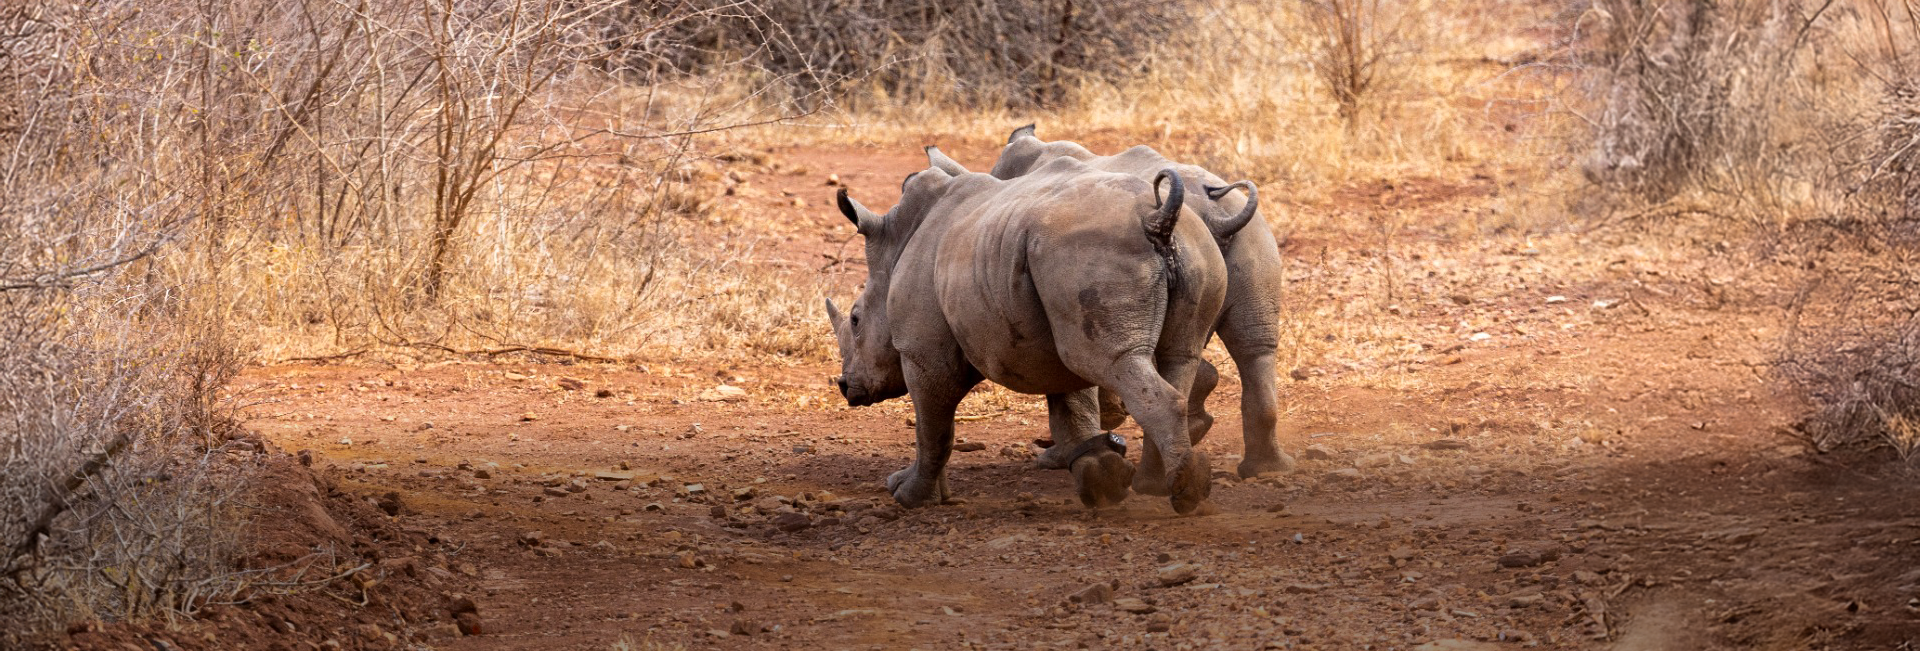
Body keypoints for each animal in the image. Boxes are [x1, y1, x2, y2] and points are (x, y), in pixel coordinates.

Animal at [825, 149, 1247, 514]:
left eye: (856, 319)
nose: (846, 386)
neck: (897, 247)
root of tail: (1159, 217)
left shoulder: (922, 352)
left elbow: (934, 428)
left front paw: (908, 496)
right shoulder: (1051, 317)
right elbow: (1071, 408)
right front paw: (1102, 480)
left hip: (1093, 253)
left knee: (1118, 363)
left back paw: (1185, 494)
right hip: (1183, 249)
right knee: (1176, 356)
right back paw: (1159, 484)